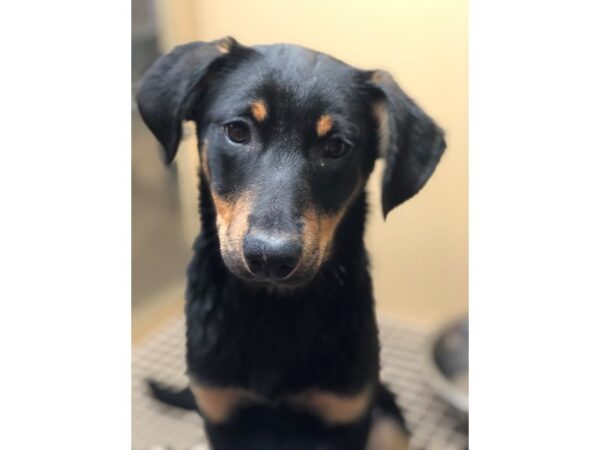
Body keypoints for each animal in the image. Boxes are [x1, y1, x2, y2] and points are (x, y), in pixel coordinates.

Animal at [137, 36, 446, 450]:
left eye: (336, 148)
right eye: (238, 131)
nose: (270, 258)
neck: (274, 307)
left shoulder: (344, 415)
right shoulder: (222, 413)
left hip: (388, 420)